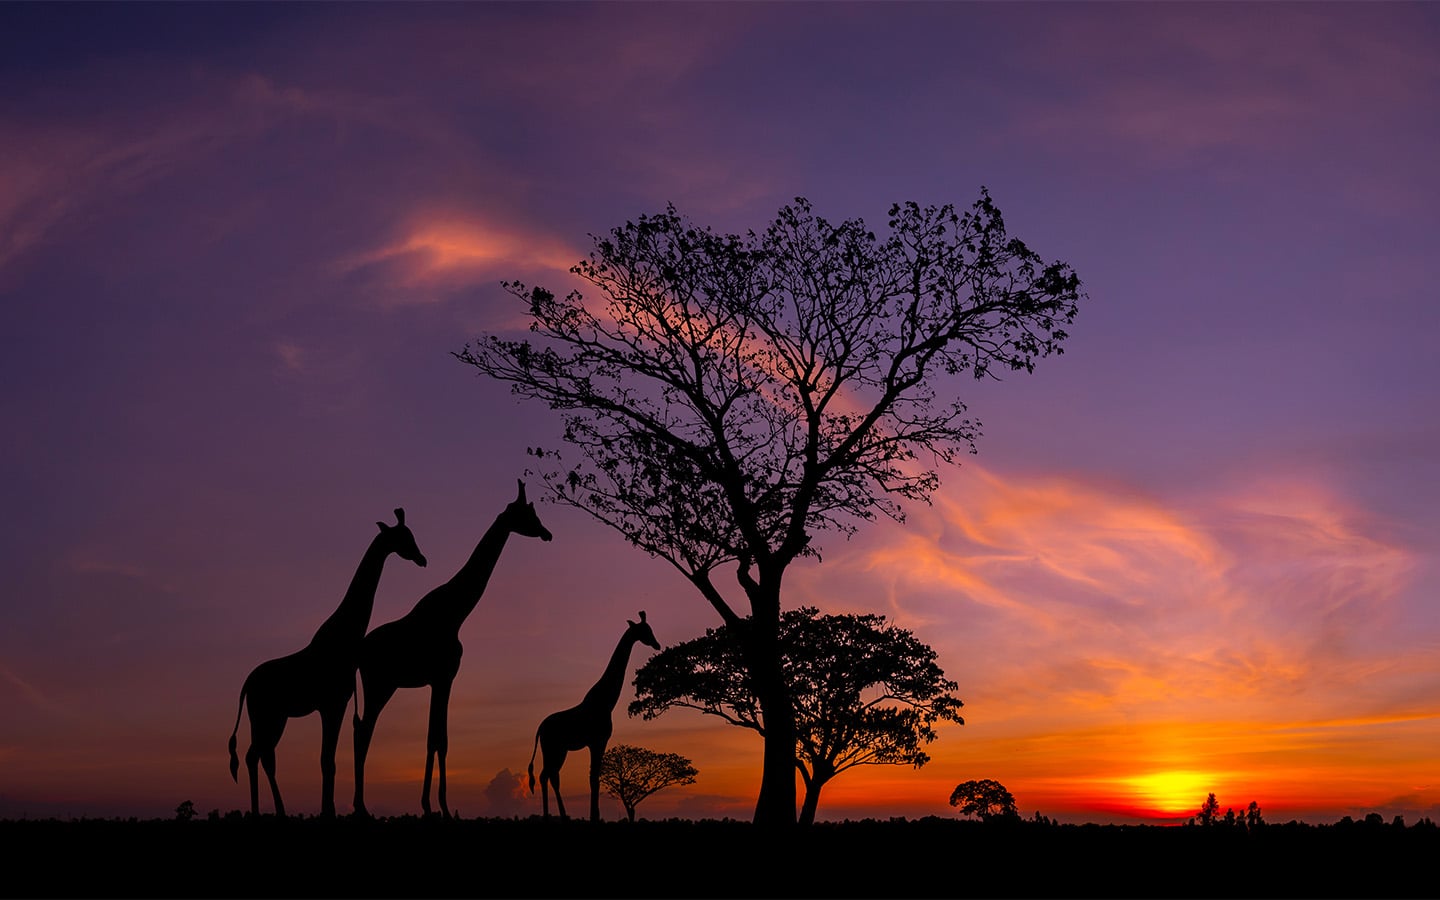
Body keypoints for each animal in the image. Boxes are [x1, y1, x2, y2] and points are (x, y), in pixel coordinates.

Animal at [224, 509, 423, 817]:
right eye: (404, 538)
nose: (421, 558)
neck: (347, 636)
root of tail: (246, 685)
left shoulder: (336, 703)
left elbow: (327, 759)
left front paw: (327, 809)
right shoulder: (332, 703)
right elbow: (326, 760)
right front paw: (327, 812)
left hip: (273, 717)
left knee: (259, 754)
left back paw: (276, 812)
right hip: (266, 715)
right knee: (257, 754)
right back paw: (264, 813)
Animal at [352, 480, 550, 817]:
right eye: (528, 514)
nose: (547, 533)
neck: (455, 612)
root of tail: (359, 656)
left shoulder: (439, 680)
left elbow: (436, 738)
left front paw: (433, 806)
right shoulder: (444, 677)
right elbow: (438, 740)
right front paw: (439, 807)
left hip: (383, 686)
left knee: (360, 731)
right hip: (379, 685)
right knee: (363, 731)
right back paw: (361, 808)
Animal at [532, 610, 659, 823]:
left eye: (650, 629)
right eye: (645, 630)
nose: (657, 645)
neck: (606, 701)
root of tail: (540, 728)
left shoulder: (596, 742)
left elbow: (594, 777)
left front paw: (595, 815)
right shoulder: (598, 740)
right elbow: (594, 778)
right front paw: (594, 816)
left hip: (557, 750)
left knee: (550, 776)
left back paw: (560, 815)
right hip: (553, 748)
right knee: (546, 776)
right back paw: (550, 816)